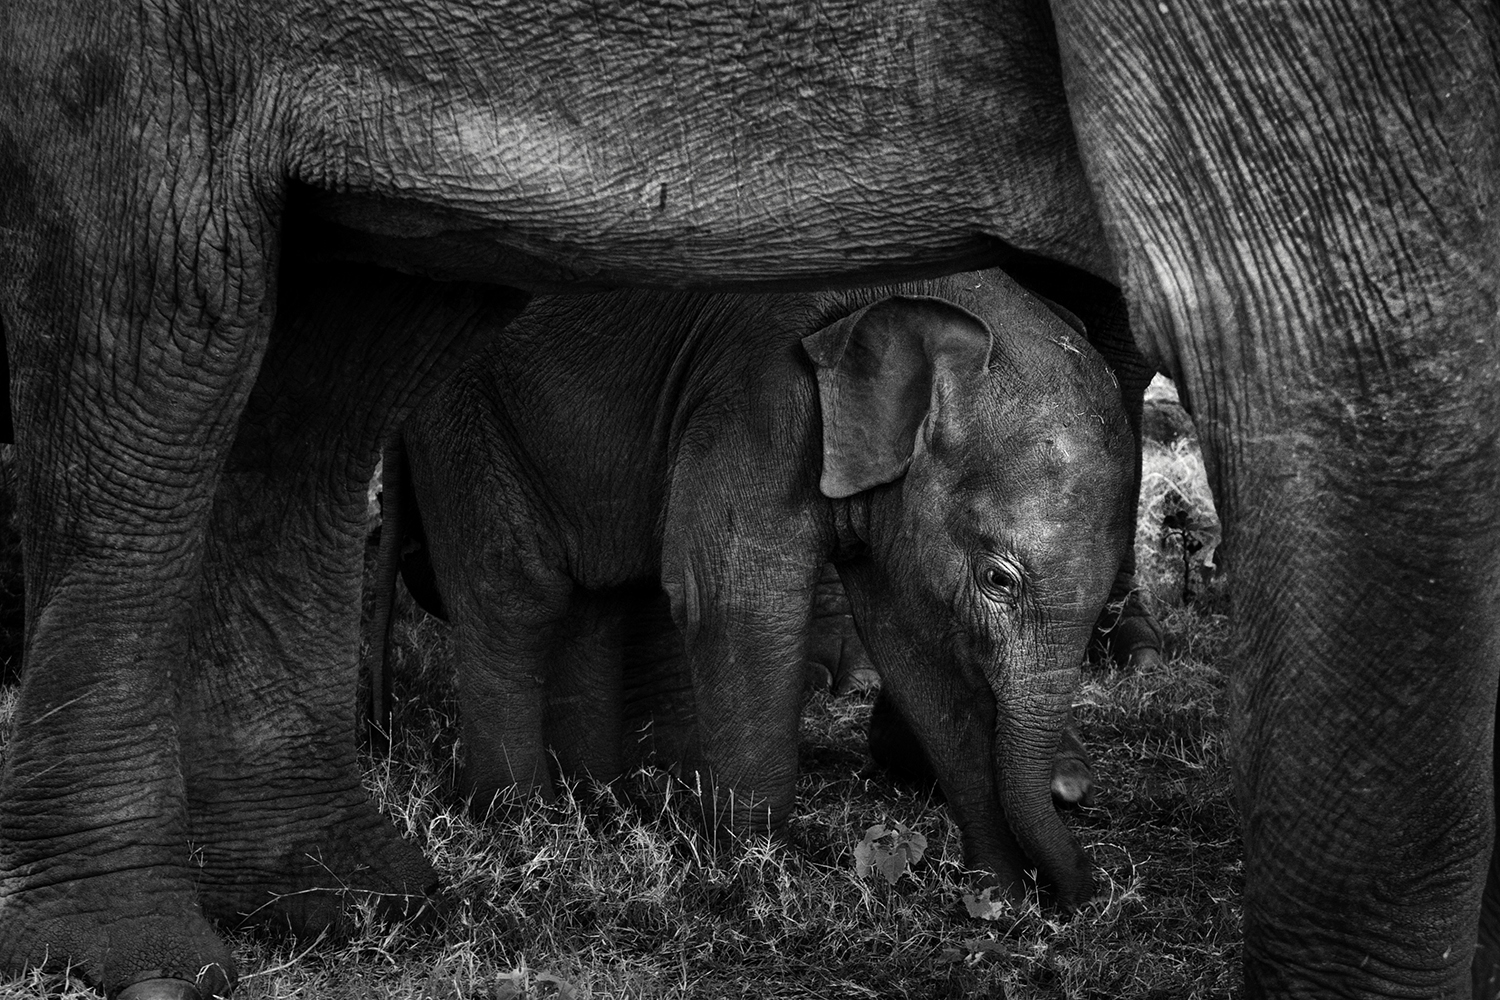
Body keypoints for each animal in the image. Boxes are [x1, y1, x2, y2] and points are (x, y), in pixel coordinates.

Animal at [396, 268, 1128, 905]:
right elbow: (731, 598)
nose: (1073, 900)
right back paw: (520, 819)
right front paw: (761, 877)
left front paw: (994, 898)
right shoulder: (759, 396)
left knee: (598, 595)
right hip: (463, 411)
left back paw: (600, 805)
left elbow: (912, 649)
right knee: (516, 592)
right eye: (998, 578)